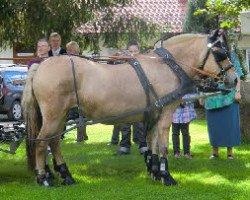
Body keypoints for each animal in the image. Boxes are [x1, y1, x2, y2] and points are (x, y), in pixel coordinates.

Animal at [22, 29, 235, 186]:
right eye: (220, 53)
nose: (235, 78)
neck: (166, 66)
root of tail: (40, 67)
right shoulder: (165, 114)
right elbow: (163, 145)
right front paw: (166, 176)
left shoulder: (154, 114)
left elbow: (152, 143)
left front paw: (155, 171)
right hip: (54, 115)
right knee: (41, 142)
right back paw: (44, 177)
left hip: (61, 115)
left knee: (53, 142)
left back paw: (65, 175)